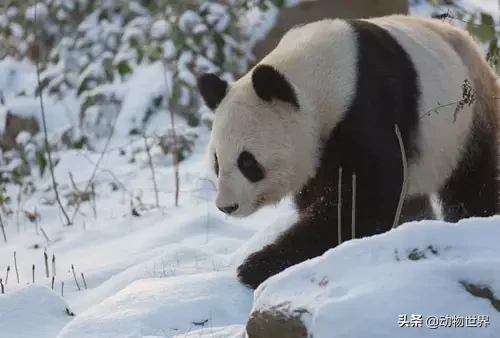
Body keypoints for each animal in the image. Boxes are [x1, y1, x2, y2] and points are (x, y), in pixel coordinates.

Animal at [194, 13, 500, 288]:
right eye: (217, 162)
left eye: (247, 162)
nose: (227, 206)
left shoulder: (365, 107)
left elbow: (362, 199)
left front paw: (256, 266)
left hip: (467, 118)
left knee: (473, 180)